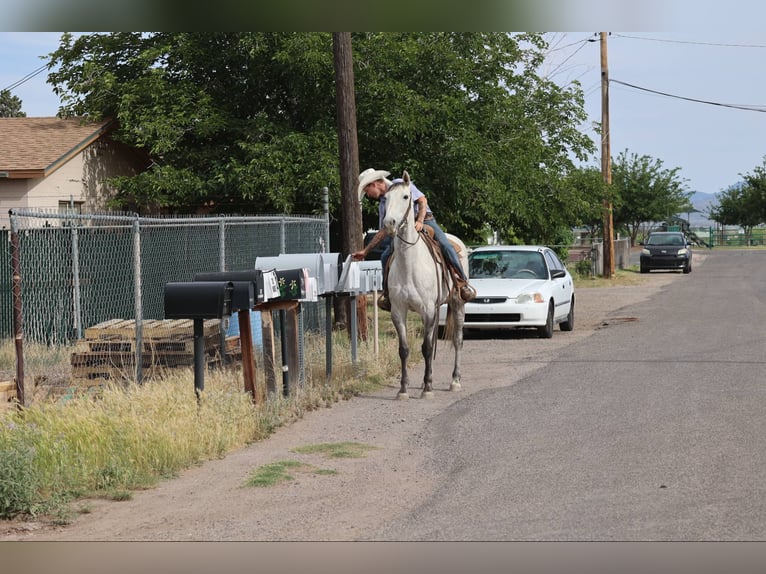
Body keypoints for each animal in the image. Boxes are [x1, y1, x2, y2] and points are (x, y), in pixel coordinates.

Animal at [382, 170, 467, 399]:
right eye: (385, 198)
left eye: (406, 196)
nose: (389, 223)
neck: (410, 265)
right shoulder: (398, 311)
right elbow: (404, 349)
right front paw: (403, 389)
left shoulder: (428, 309)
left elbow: (427, 348)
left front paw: (428, 388)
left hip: (457, 303)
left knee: (457, 340)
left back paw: (454, 381)